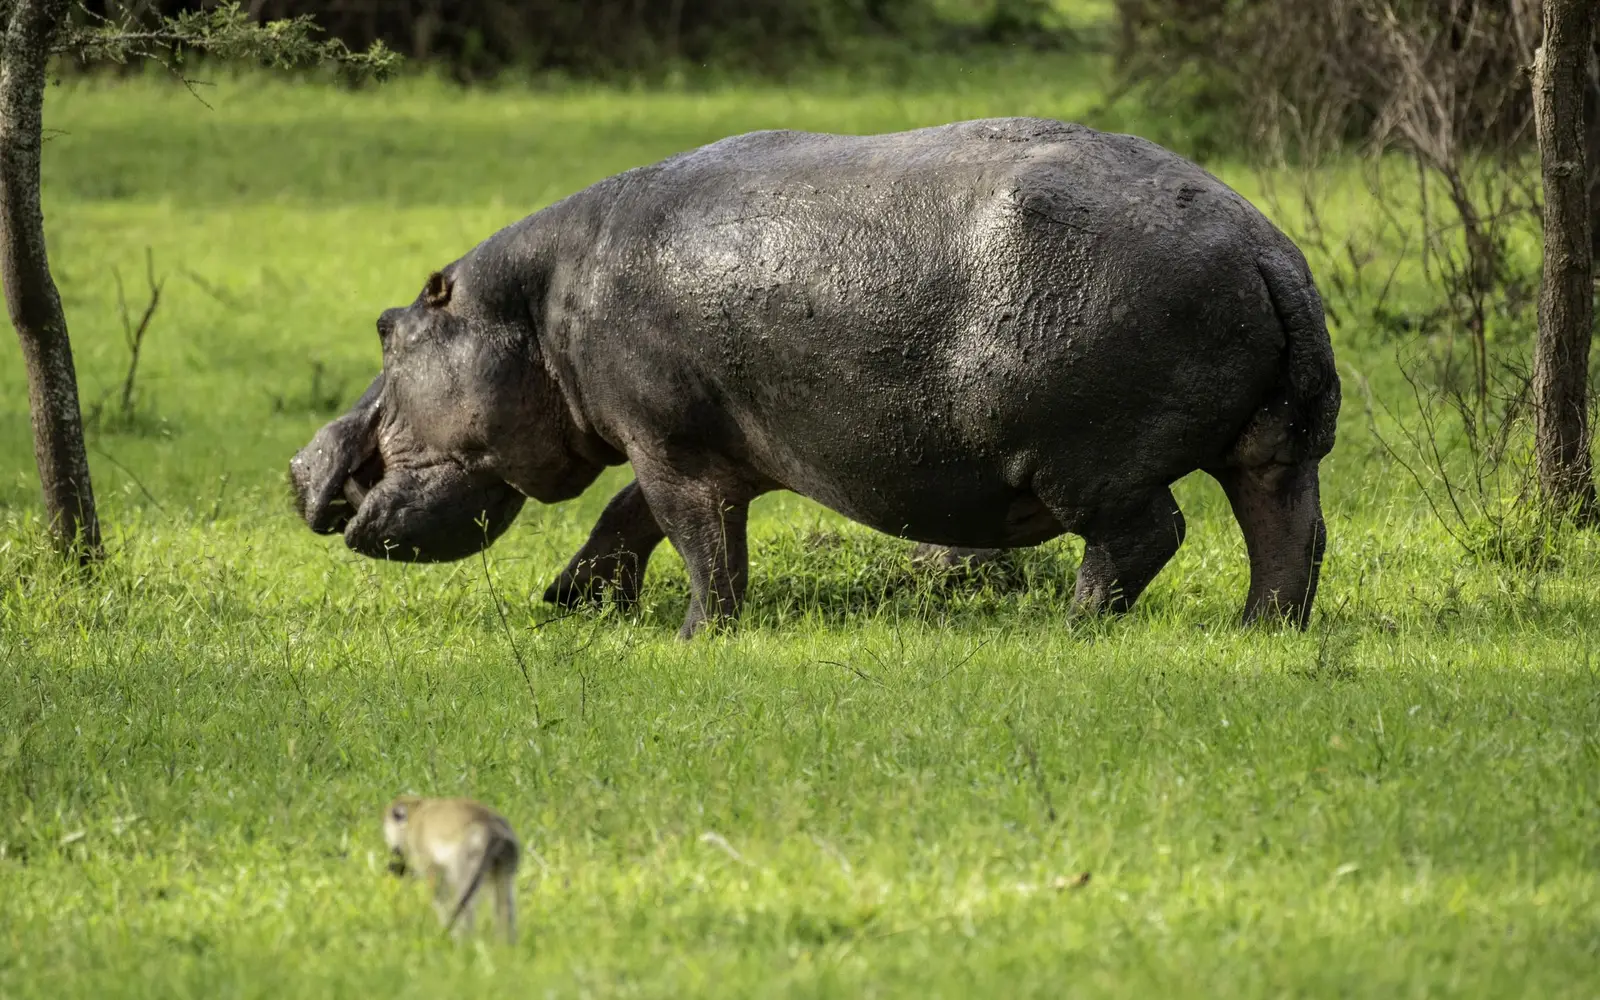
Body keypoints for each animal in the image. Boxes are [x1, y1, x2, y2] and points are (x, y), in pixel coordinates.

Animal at [289, 117, 1340, 637]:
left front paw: (697, 636)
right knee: (1289, 533)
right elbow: (626, 517)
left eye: (386, 330)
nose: (299, 467)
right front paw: (572, 602)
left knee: (1146, 536)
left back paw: (1074, 629)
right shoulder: (694, 439)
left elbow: (695, 538)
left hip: (1086, 463)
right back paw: (1259, 631)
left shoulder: (669, 442)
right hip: (1274, 446)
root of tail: (1266, 248)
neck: (535, 304)